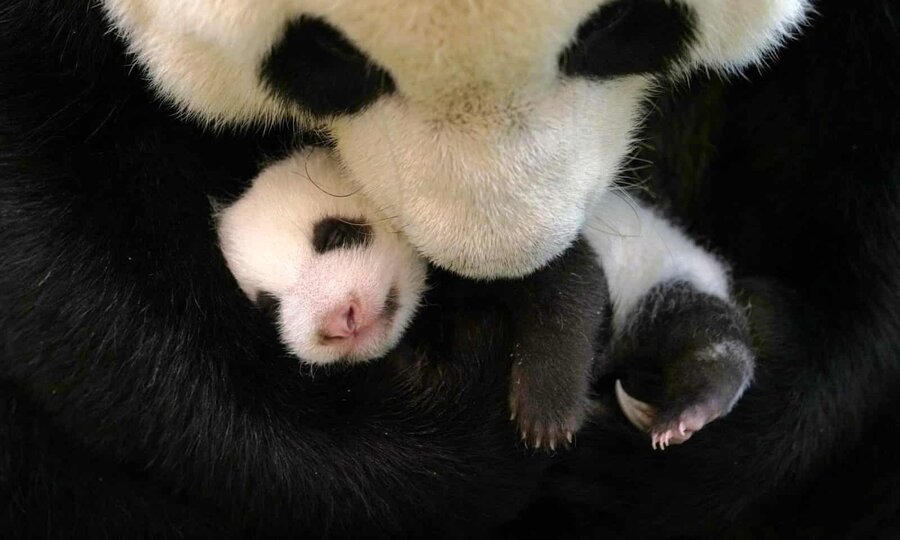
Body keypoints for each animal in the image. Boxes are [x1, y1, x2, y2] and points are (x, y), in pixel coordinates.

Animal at [2, 0, 899, 538]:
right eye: (261, 300)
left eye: (335, 233)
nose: (339, 320)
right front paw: (452, 440)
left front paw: (544, 418)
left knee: (708, 339)